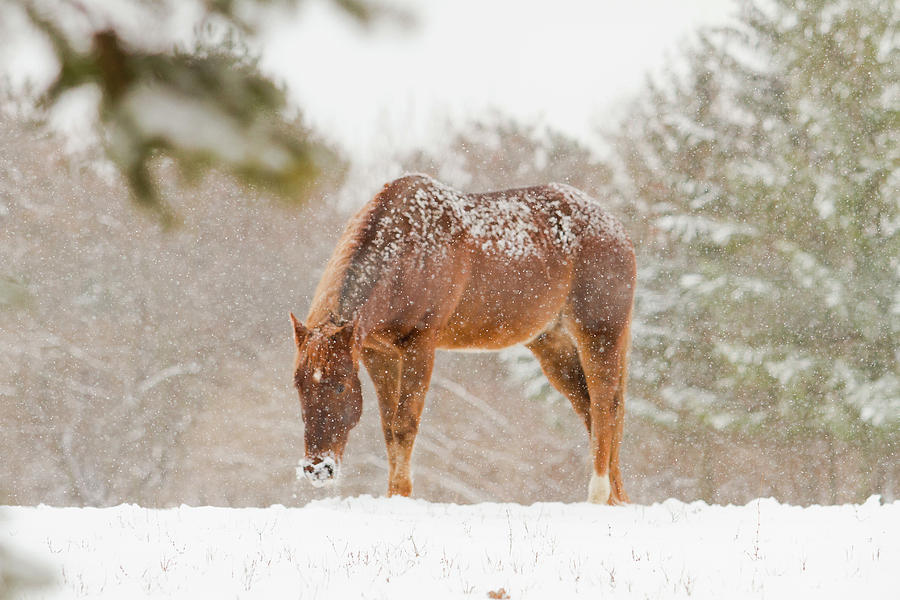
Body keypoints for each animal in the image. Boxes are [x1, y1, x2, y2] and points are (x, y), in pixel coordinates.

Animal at [288, 172, 632, 502]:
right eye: (298, 384)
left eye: (340, 385)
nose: (317, 468)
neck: (405, 253)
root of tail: (616, 228)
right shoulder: (378, 354)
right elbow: (388, 428)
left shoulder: (420, 345)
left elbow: (404, 425)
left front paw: (401, 495)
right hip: (551, 344)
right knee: (593, 407)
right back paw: (617, 498)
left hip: (601, 333)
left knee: (604, 406)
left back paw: (599, 494)